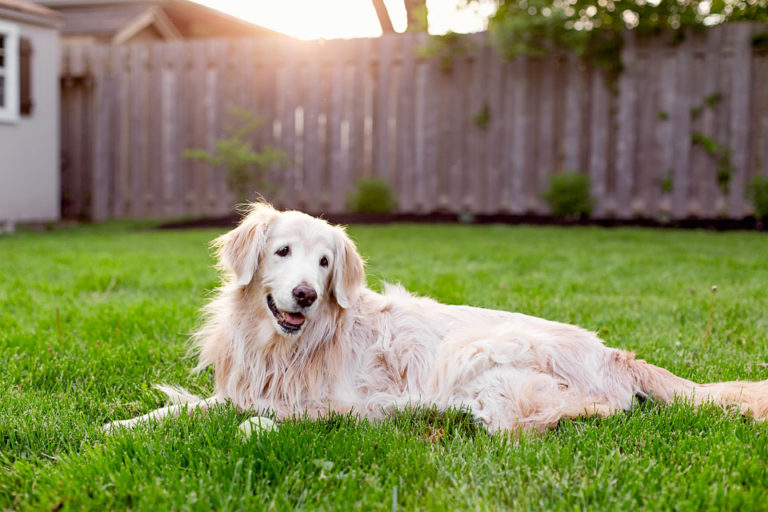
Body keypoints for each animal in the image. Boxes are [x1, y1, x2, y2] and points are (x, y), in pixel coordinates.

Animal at [105, 202, 768, 434]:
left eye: (325, 262)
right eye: (283, 251)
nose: (306, 295)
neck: (285, 347)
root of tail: (616, 353)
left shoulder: (340, 401)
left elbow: (279, 419)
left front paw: (256, 429)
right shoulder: (240, 388)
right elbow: (180, 411)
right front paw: (121, 425)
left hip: (479, 358)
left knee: (555, 418)